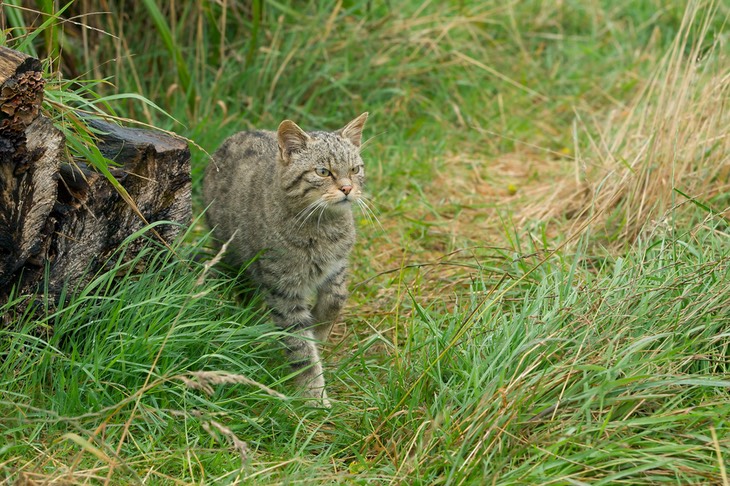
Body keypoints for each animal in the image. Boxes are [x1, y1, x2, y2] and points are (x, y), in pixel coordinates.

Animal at [200, 113, 366, 406]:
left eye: (355, 169)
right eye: (323, 172)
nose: (348, 188)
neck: (323, 227)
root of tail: (236, 135)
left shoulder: (337, 268)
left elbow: (335, 301)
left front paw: (319, 332)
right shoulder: (284, 290)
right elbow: (301, 350)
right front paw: (313, 396)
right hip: (230, 255)